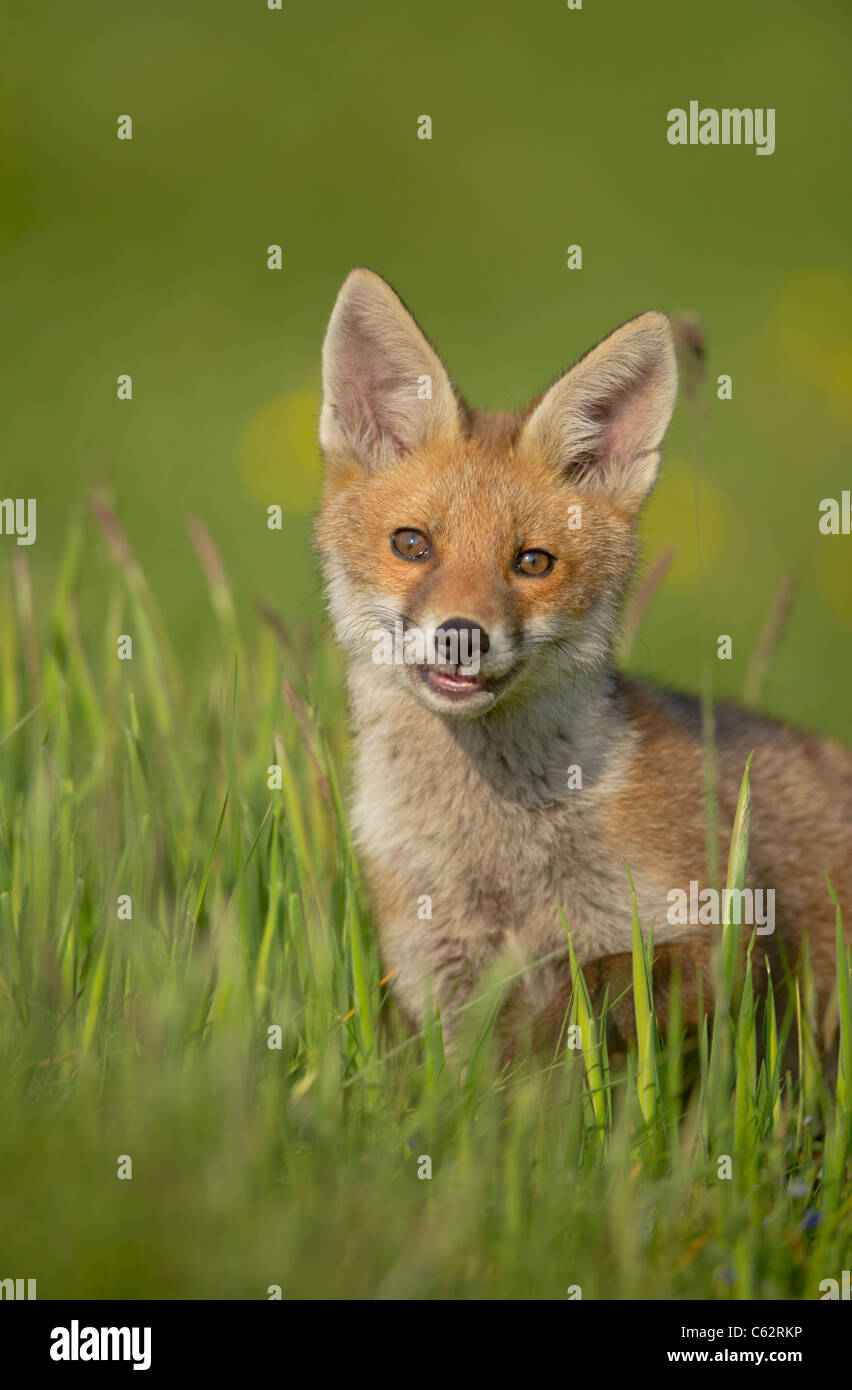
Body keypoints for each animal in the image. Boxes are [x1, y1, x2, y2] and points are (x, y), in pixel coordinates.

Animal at [315, 268, 850, 1050]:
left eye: (533, 562)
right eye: (412, 545)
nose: (461, 636)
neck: (500, 863)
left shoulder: (729, 943)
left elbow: (597, 986)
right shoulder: (438, 994)